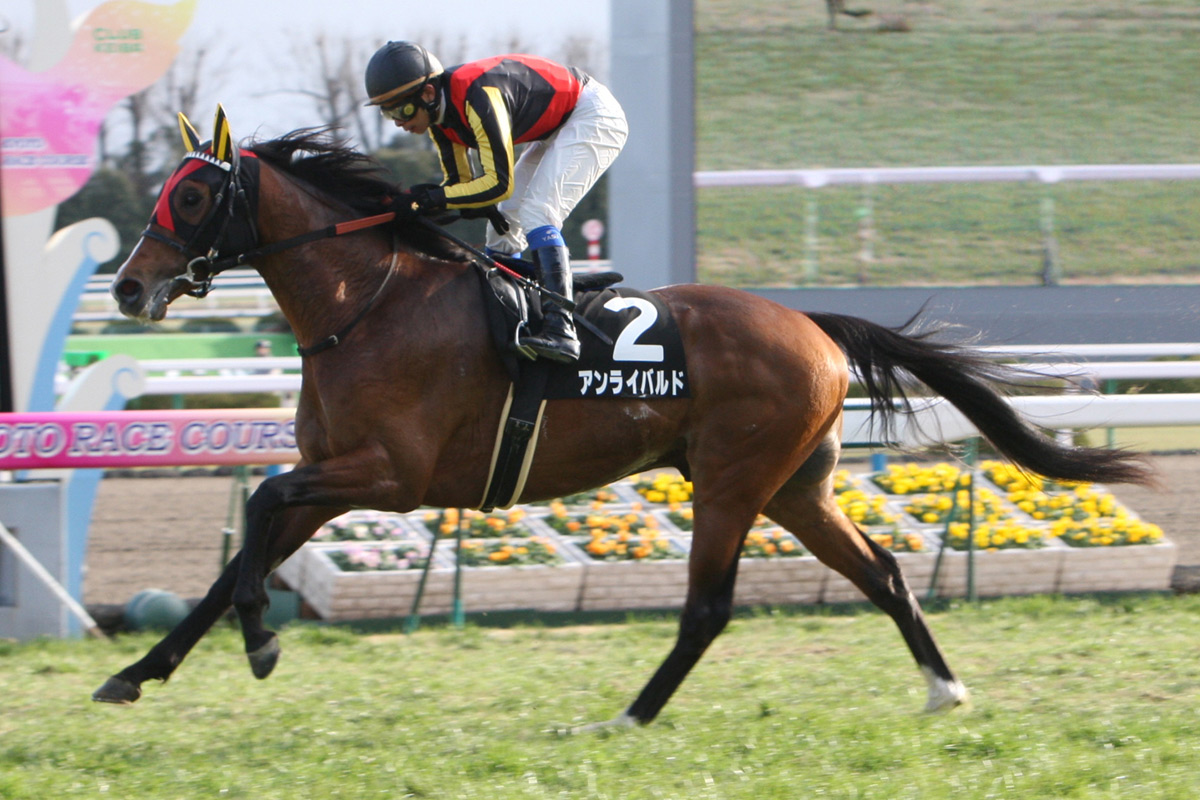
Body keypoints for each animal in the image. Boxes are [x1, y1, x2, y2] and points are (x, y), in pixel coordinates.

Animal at [94, 107, 1153, 727]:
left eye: (195, 194)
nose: (129, 286)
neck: (370, 303)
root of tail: (809, 322)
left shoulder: (390, 476)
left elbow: (259, 508)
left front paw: (262, 643)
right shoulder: (335, 476)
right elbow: (241, 552)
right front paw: (138, 672)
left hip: (730, 483)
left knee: (710, 607)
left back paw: (631, 715)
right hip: (796, 488)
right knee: (883, 570)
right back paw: (943, 686)